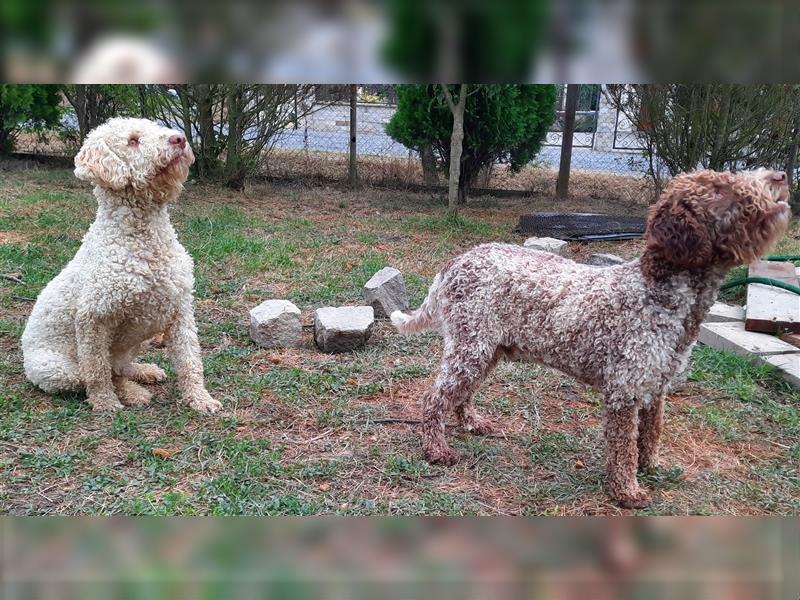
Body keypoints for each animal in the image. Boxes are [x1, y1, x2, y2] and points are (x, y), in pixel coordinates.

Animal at [390, 169, 792, 506]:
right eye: (720, 189)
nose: (780, 176)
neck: (660, 294)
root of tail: (454, 263)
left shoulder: (655, 388)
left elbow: (651, 434)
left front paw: (651, 468)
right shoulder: (624, 391)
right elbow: (624, 448)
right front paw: (628, 491)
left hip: (487, 349)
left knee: (460, 394)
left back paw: (472, 422)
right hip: (472, 347)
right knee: (434, 397)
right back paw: (436, 449)